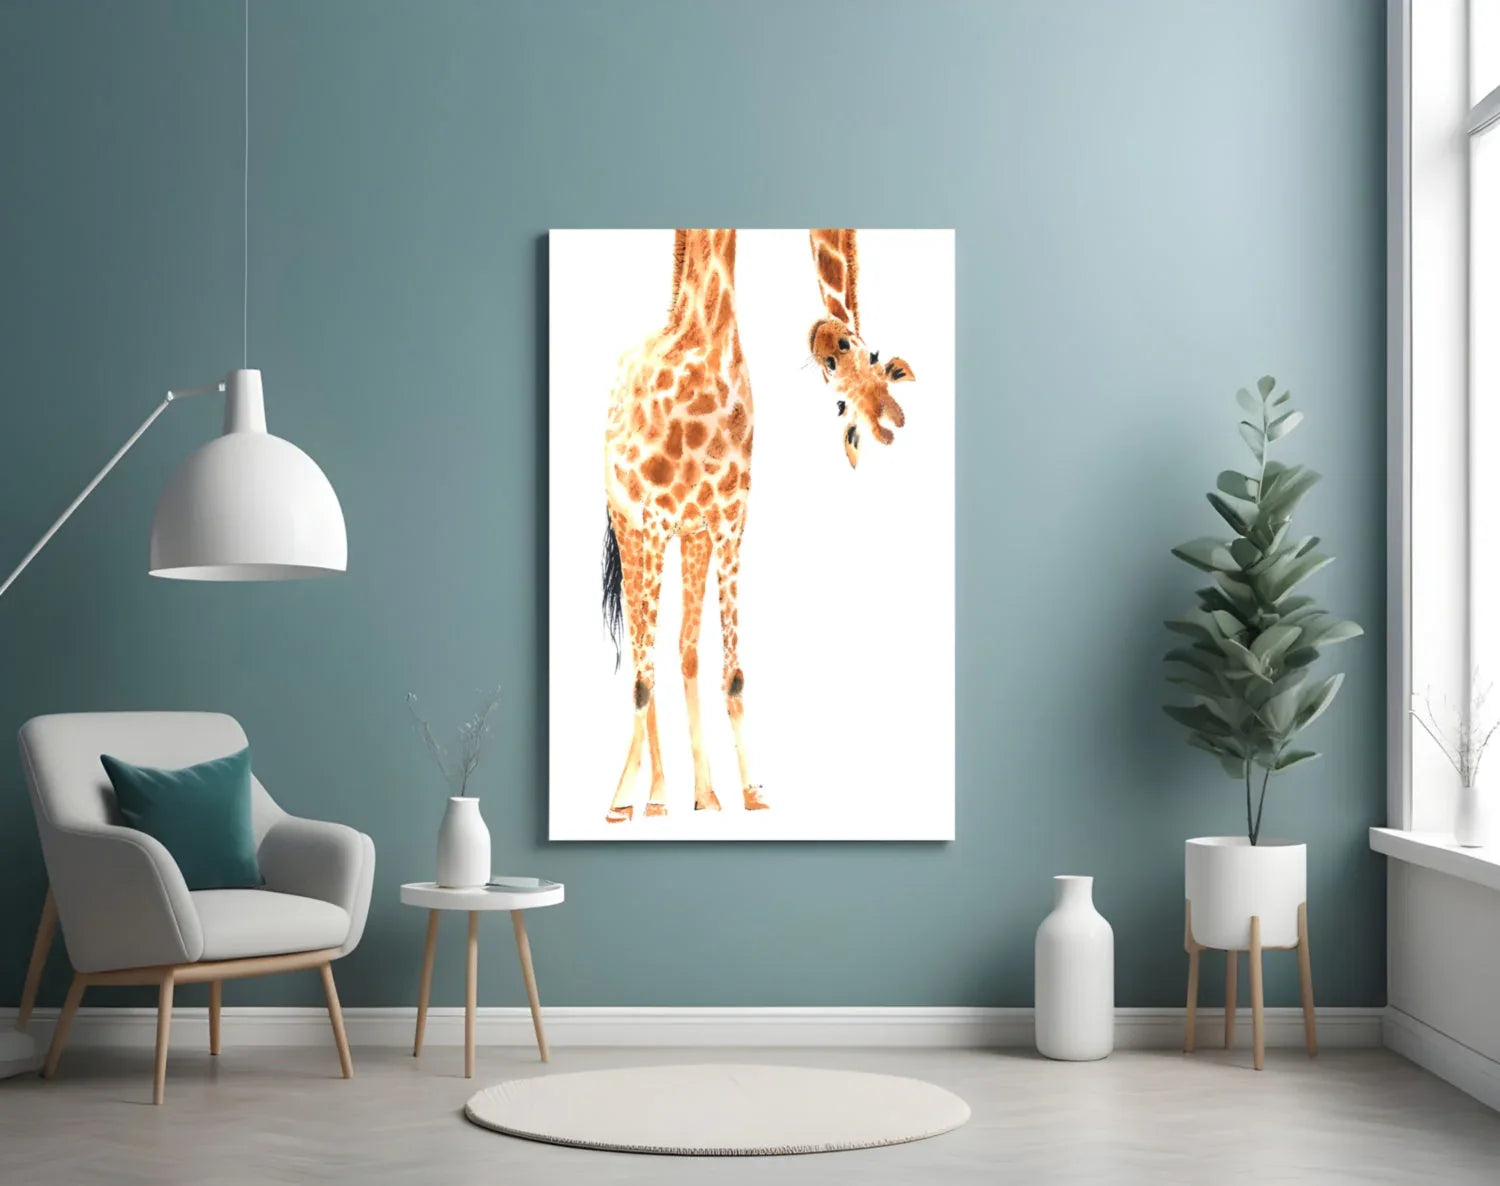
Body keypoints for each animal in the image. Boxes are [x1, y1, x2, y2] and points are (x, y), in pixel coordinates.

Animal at [598, 229, 917, 824]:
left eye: (869, 354)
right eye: (841, 365)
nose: (828, 338)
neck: (701, 342)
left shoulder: (727, 521)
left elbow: (733, 671)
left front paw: (752, 792)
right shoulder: (652, 520)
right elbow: (641, 679)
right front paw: (626, 801)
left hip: (689, 536)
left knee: (681, 649)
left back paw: (698, 794)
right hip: (630, 530)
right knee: (640, 652)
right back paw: (647, 796)